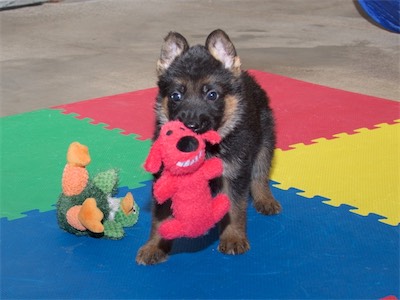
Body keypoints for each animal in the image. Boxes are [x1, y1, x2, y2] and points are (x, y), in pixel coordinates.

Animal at [136, 29, 280, 264]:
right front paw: (155, 246)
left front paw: (232, 237)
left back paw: (265, 199)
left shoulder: (233, 173)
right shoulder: (164, 180)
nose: (191, 126)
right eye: (176, 95)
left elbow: (234, 208)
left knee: (260, 175)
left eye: (212, 95)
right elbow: (160, 218)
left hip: (265, 141)